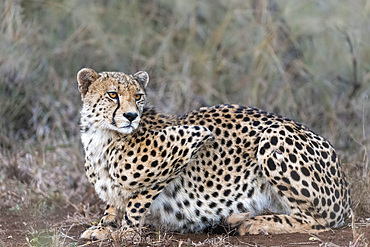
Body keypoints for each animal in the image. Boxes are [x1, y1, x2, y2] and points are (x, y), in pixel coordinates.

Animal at [77, 67, 350, 239]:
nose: (132, 115)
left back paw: (255, 223)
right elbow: (114, 202)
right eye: (112, 94)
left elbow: (137, 200)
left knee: (320, 221)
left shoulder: (192, 138)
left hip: (274, 135)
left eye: (138, 97)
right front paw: (104, 227)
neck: (102, 135)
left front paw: (127, 233)